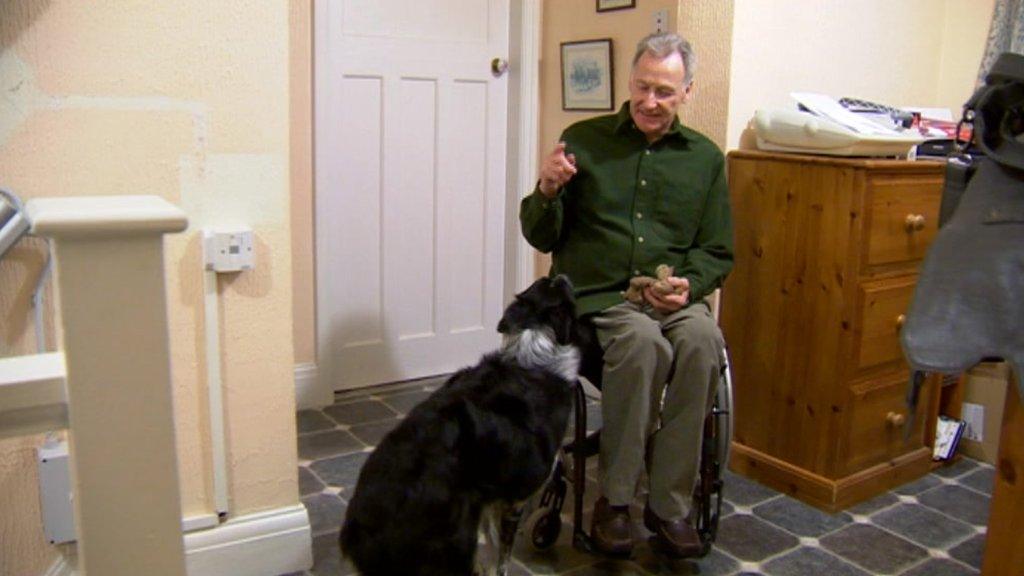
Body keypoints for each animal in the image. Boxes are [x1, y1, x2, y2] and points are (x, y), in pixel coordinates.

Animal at [339, 276, 585, 569]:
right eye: (558, 288)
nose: (563, 276)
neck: (534, 351)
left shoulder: (490, 500)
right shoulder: (515, 499)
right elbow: (502, 559)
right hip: (455, 540)